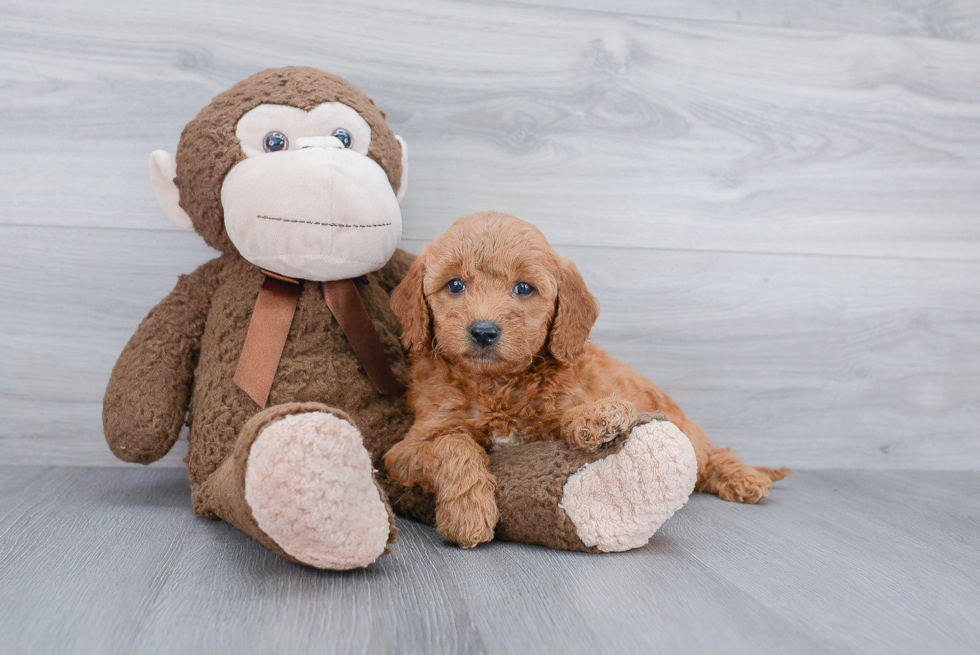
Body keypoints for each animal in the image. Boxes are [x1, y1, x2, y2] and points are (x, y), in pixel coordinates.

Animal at [384, 213, 788, 544]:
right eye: (454, 285)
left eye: (524, 288)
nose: (484, 332)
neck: (497, 385)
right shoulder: (406, 449)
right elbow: (454, 445)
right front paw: (468, 513)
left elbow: (563, 414)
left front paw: (599, 416)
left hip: (686, 427)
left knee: (712, 456)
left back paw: (746, 479)